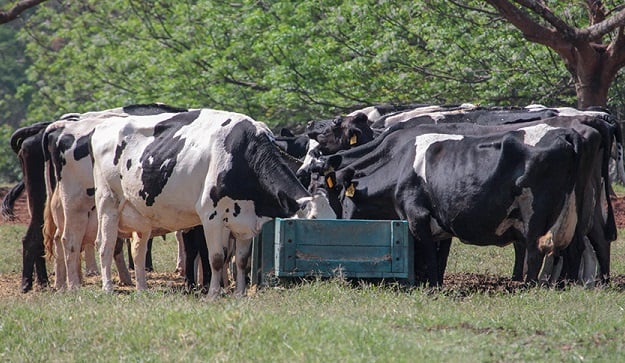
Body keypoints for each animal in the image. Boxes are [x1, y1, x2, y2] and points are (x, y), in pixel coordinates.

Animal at [316, 116, 616, 288]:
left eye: (338, 196)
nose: (341, 224)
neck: (400, 162)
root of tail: (570, 132)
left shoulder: (417, 217)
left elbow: (428, 255)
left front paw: (430, 286)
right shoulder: (441, 221)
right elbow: (437, 256)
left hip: (537, 213)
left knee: (535, 249)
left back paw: (530, 286)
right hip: (578, 209)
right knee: (579, 246)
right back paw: (569, 285)